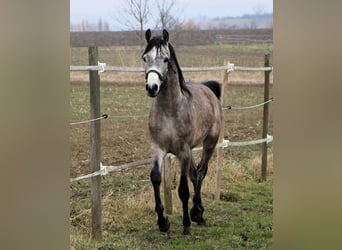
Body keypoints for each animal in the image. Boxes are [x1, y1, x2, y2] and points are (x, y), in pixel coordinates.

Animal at [142, 29, 222, 234]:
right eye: (145, 58)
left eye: (165, 59)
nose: (152, 88)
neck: (170, 110)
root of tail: (208, 89)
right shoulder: (158, 148)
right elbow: (156, 178)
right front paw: (162, 221)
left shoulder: (183, 151)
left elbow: (183, 189)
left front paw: (186, 224)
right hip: (191, 150)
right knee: (195, 174)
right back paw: (197, 212)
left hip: (209, 143)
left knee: (200, 172)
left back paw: (197, 213)